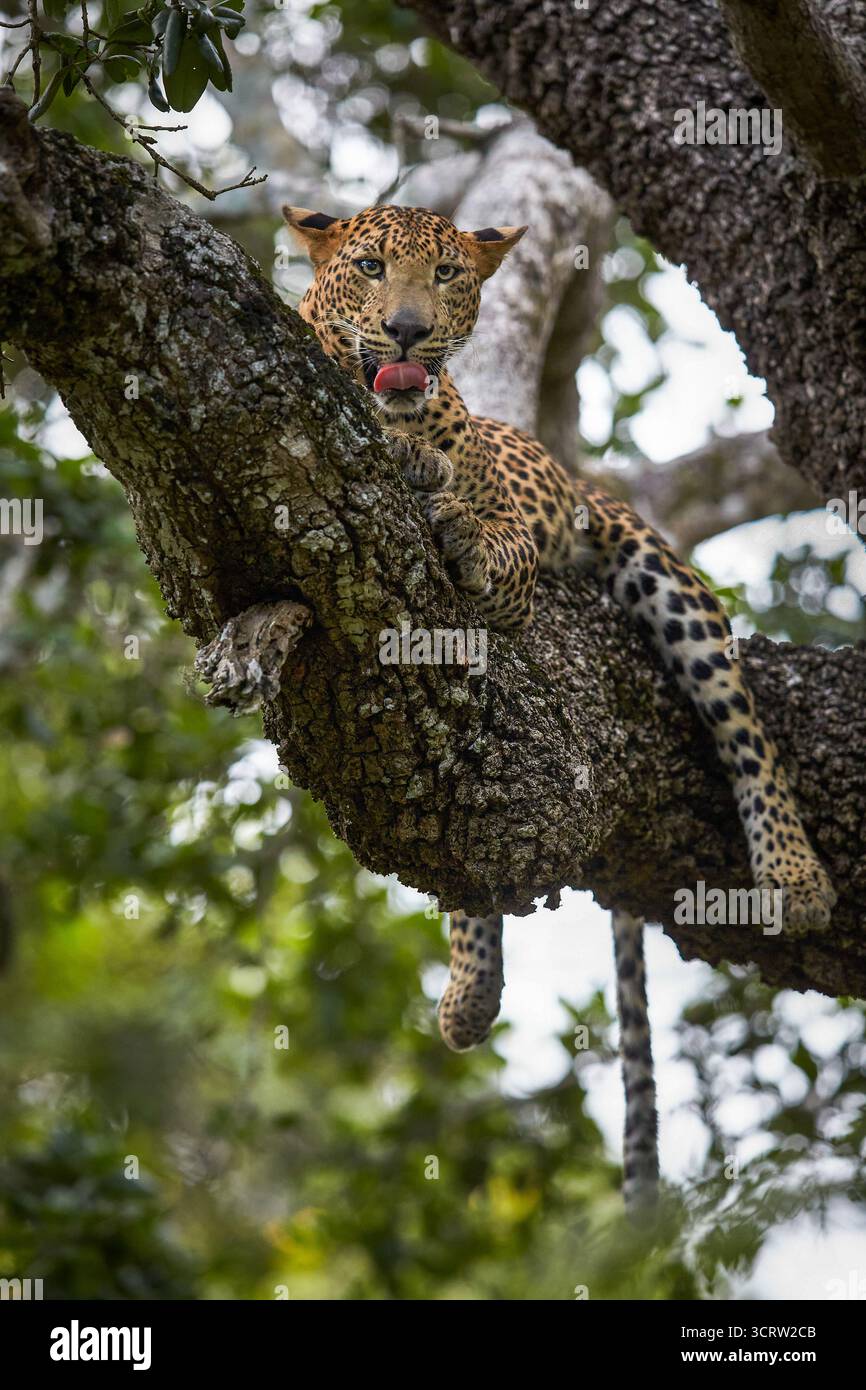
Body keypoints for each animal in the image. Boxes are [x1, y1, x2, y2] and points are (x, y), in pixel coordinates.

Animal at [283, 201, 837, 1213]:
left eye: (449, 275)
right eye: (371, 266)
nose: (409, 331)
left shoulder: (512, 534)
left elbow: (496, 549)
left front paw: (452, 510)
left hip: (659, 569)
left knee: (745, 731)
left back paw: (794, 874)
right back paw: (470, 995)